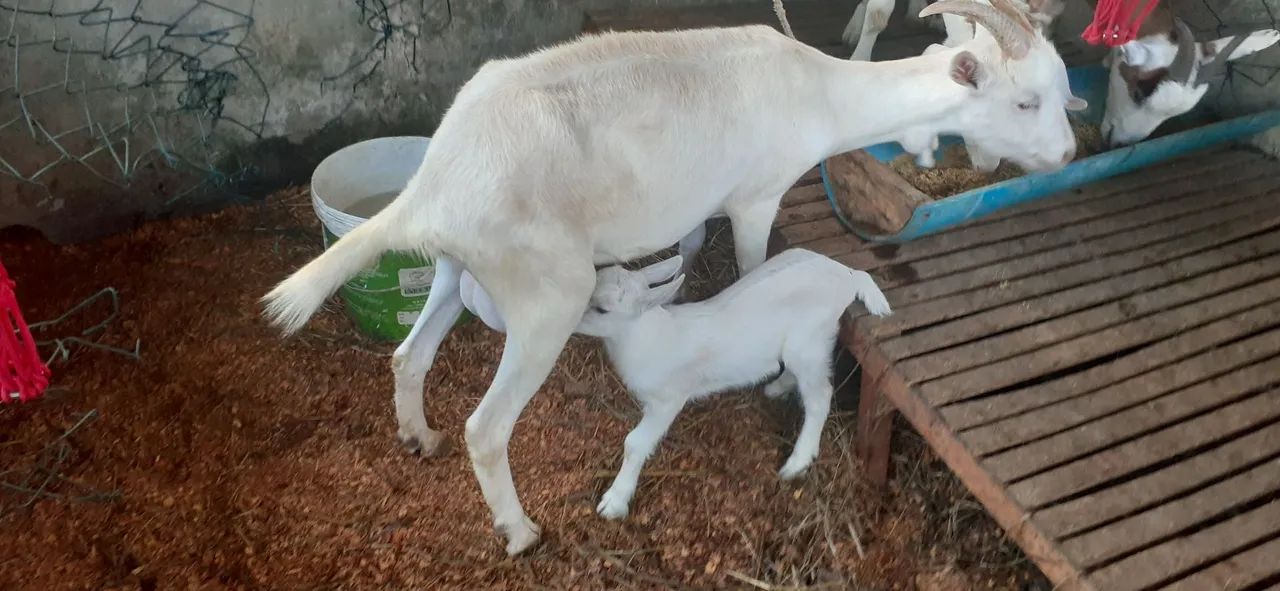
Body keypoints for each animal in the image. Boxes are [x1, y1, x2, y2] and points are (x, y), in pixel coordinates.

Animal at [572, 249, 891, 519]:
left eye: (602, 310)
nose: (571, 321)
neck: (648, 338)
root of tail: (847, 274)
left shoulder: (669, 397)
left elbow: (635, 443)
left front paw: (614, 502)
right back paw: (775, 388)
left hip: (809, 341)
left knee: (820, 397)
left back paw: (797, 461)